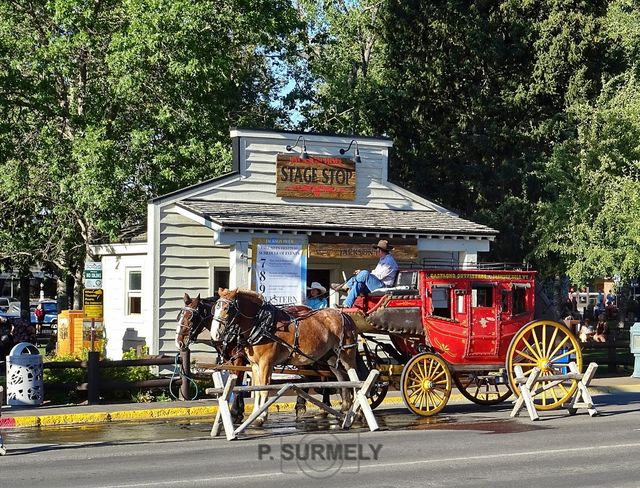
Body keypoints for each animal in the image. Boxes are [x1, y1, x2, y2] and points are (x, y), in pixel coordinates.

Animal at [211, 288, 358, 426]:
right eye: (215, 307)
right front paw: (254, 415)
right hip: (332, 358)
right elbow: (257, 389)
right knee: (342, 378)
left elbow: (264, 389)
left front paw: (260, 417)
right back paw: (345, 409)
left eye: (227, 308)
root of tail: (345, 315)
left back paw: (356, 412)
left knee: (354, 378)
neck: (262, 324)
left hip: (347, 355)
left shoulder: (266, 363)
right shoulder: (255, 365)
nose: (215, 334)